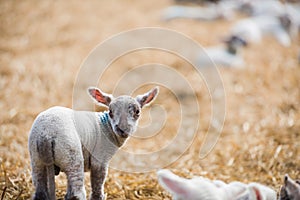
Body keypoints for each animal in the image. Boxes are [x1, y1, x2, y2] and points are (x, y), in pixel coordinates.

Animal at [28, 86, 159, 200]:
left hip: (36, 159)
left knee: (40, 191)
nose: (122, 129)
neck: (106, 127)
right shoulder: (100, 159)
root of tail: (46, 135)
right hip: (71, 155)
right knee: (76, 192)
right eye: (110, 112)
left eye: (137, 112)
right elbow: (97, 186)